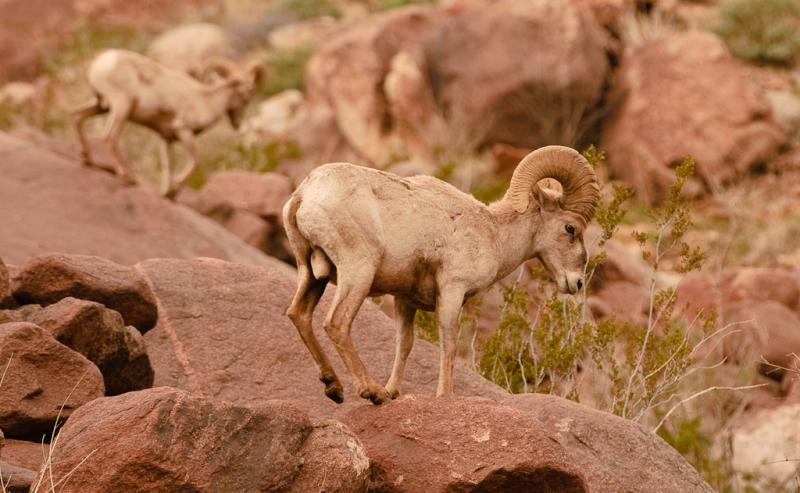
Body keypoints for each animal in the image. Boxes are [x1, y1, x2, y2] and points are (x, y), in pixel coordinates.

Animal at [73, 49, 263, 197]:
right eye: (247, 95)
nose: (238, 124)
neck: (205, 101)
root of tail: (100, 61)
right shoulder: (183, 131)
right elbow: (195, 162)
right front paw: (175, 189)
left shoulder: (166, 139)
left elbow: (168, 165)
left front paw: (166, 193)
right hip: (121, 107)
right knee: (108, 137)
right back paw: (128, 177)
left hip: (100, 106)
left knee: (77, 116)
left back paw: (87, 159)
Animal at [283, 145, 600, 405]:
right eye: (570, 228)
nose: (576, 282)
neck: (494, 233)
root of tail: (303, 196)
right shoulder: (452, 290)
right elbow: (448, 342)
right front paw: (444, 396)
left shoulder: (405, 301)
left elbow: (404, 344)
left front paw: (393, 392)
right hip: (358, 272)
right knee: (336, 324)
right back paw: (370, 391)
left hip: (313, 275)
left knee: (299, 314)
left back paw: (334, 387)